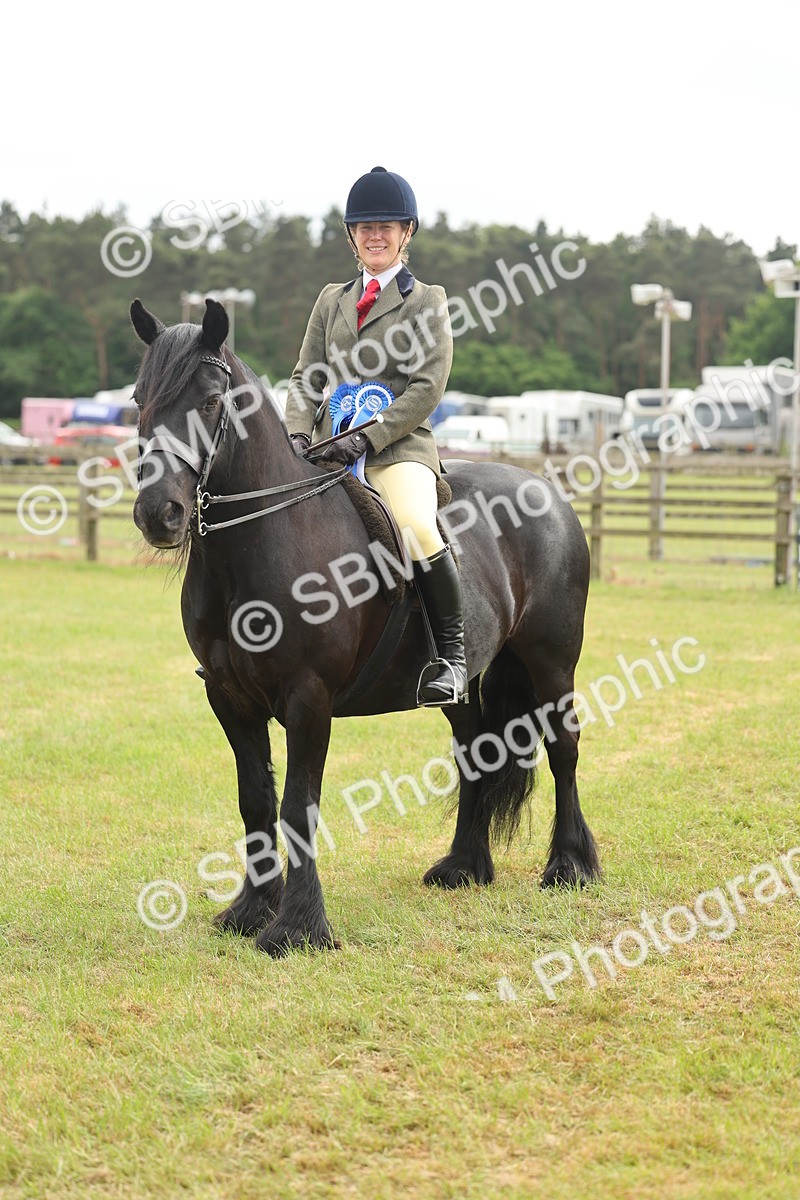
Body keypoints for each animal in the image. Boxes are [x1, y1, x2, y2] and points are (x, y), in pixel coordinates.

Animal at [130, 297, 601, 957]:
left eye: (209, 401)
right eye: (138, 400)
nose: (159, 514)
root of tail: (547, 492)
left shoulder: (308, 698)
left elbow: (298, 806)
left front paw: (298, 928)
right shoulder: (229, 698)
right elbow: (256, 802)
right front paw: (250, 911)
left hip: (551, 663)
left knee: (564, 748)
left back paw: (570, 866)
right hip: (461, 684)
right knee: (476, 751)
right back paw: (464, 866)